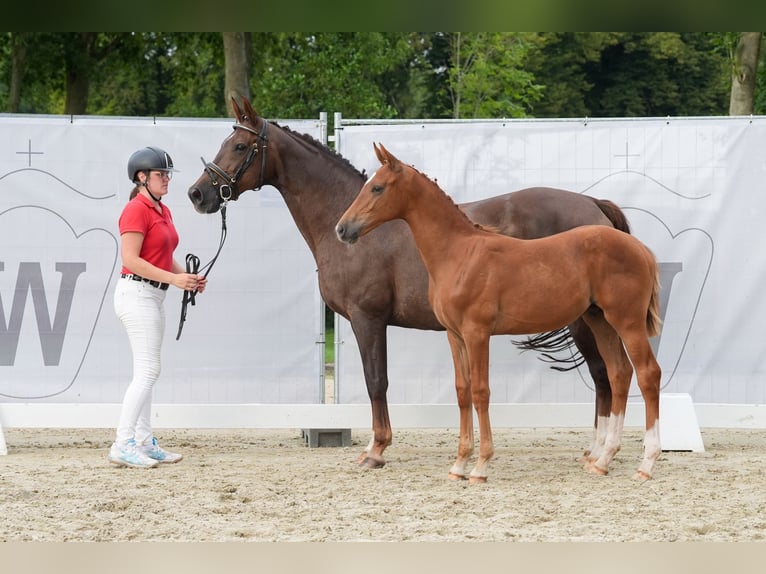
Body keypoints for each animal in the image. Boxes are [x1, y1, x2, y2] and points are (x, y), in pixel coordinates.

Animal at [194, 97, 636, 470]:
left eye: (239, 146)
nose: (197, 194)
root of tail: (593, 206)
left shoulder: (367, 318)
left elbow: (376, 381)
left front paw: (376, 450)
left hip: (585, 320)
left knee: (604, 374)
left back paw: (600, 451)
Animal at [340, 143, 664, 482]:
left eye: (377, 187)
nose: (343, 228)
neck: (459, 253)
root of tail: (641, 249)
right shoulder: (455, 336)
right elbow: (462, 392)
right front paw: (459, 465)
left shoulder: (477, 332)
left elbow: (480, 392)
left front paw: (480, 466)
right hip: (600, 321)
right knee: (619, 374)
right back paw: (602, 460)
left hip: (627, 322)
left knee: (647, 374)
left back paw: (646, 463)